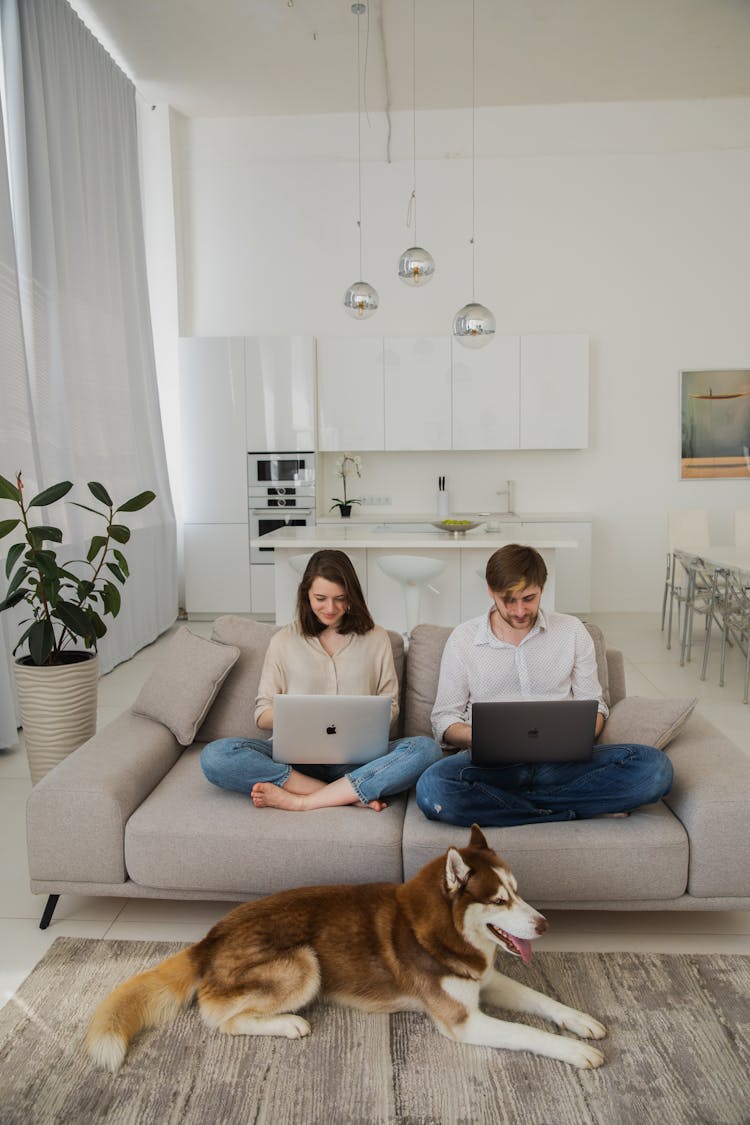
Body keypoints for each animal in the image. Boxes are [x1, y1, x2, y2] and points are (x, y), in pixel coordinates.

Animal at [88, 828, 607, 1071]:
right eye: (499, 901)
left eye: (518, 892)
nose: (544, 924)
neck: (442, 931)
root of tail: (209, 937)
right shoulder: (465, 1020)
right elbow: (527, 1033)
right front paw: (573, 1050)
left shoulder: (484, 979)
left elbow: (541, 1000)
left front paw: (579, 1021)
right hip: (303, 963)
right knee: (219, 1018)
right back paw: (288, 1024)